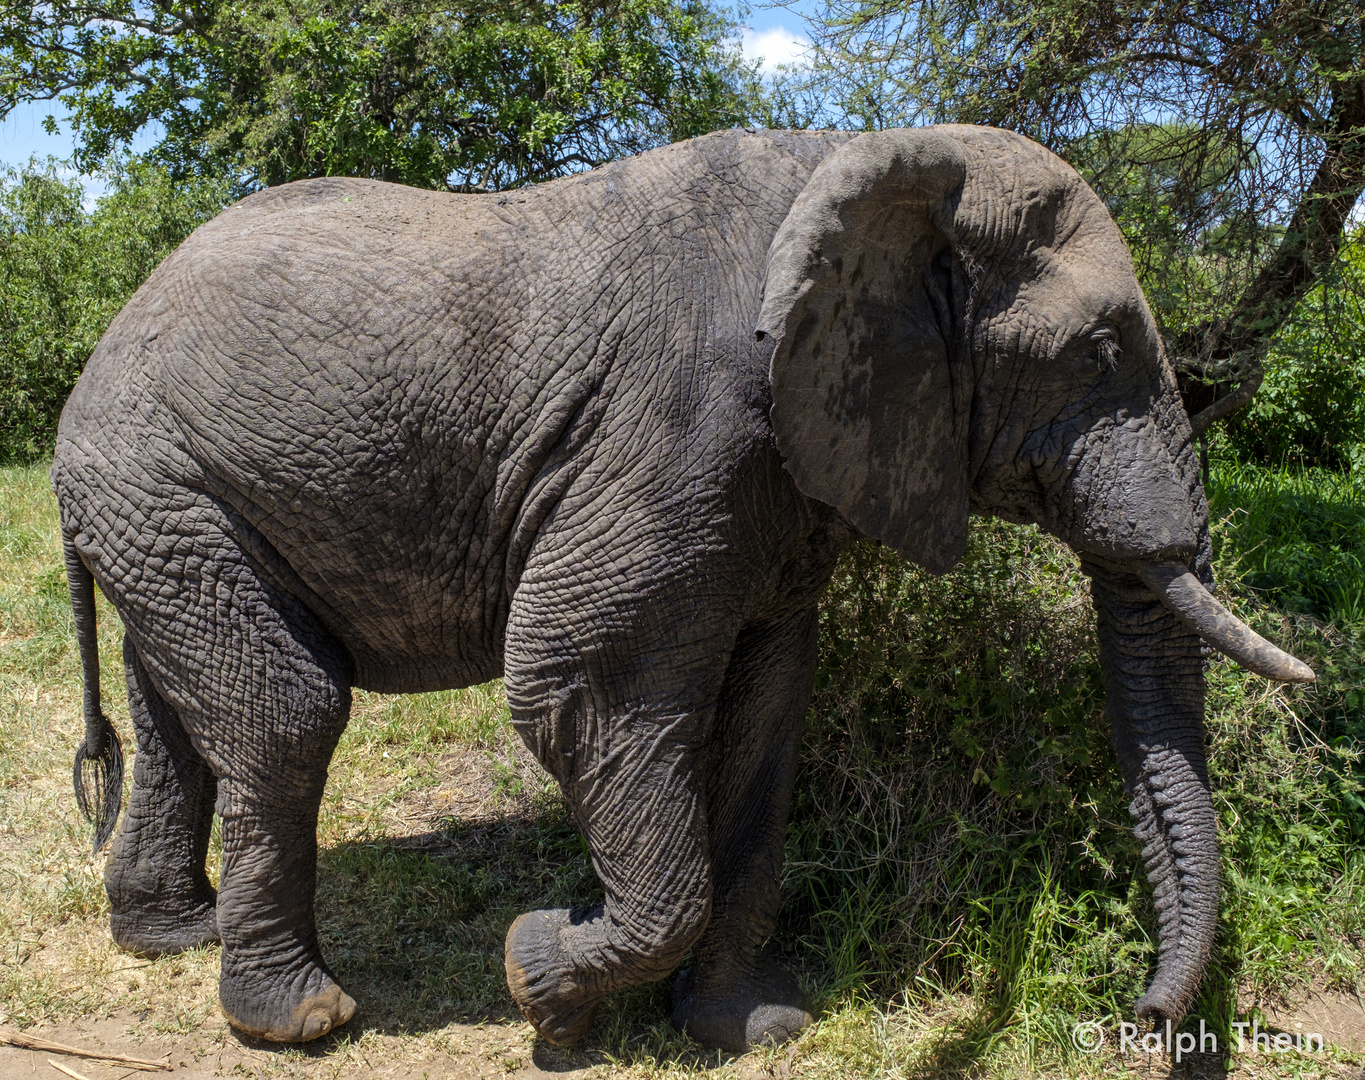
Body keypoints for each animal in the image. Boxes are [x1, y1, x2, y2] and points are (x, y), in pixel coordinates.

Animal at [50, 122, 1310, 1054]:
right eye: (1099, 353)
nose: (1143, 1020)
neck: (873, 163)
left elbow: (768, 708)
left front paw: (745, 1027)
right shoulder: (682, 431)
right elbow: (580, 688)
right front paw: (542, 982)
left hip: (167, 512)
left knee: (181, 718)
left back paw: (174, 937)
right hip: (159, 480)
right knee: (287, 716)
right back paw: (301, 1019)